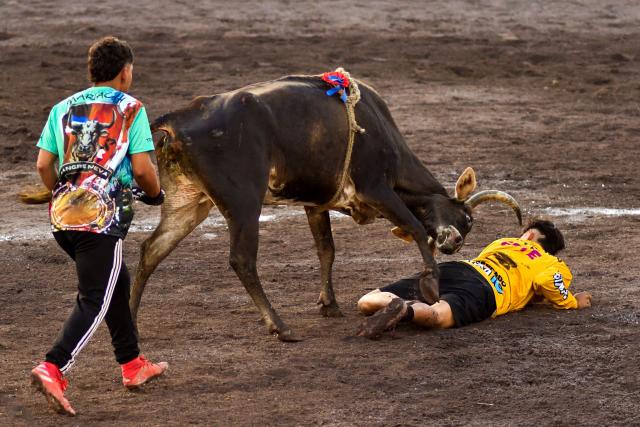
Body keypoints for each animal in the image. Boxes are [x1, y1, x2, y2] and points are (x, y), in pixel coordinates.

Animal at [128, 74, 522, 342]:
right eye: (466, 218)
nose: (453, 243)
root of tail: (181, 117)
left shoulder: (315, 204)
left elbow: (326, 250)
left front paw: (329, 304)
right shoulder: (377, 188)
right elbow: (413, 226)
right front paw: (429, 285)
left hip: (188, 204)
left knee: (151, 250)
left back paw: (131, 319)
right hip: (243, 204)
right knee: (241, 260)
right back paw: (279, 326)